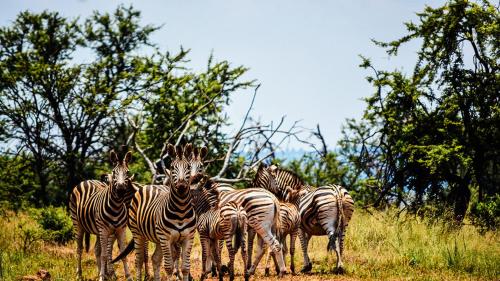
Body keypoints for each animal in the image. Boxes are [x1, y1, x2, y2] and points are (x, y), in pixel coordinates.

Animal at [69, 150, 137, 280]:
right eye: (114, 172)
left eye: (127, 172)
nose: (121, 189)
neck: (116, 207)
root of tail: (86, 180)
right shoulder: (105, 231)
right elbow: (105, 255)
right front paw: (105, 276)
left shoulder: (120, 230)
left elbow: (122, 254)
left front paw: (127, 277)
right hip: (78, 224)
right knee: (79, 249)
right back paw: (79, 274)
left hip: (97, 230)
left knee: (96, 249)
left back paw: (101, 273)